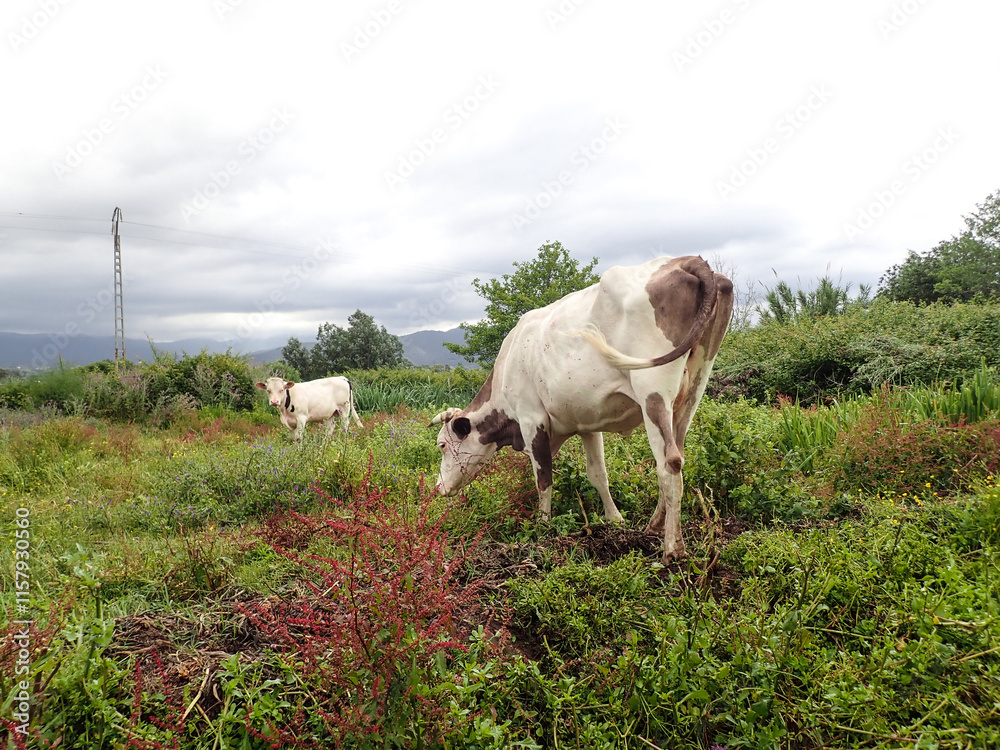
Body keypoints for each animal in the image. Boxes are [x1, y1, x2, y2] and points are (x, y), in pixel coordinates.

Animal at [430, 255, 733, 563]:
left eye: (442, 445)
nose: (438, 487)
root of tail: (682, 261)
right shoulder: (587, 422)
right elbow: (598, 474)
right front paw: (614, 520)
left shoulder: (531, 419)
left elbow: (543, 477)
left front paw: (543, 525)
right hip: (694, 387)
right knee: (678, 455)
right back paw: (653, 526)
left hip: (653, 391)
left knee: (668, 463)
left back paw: (673, 548)